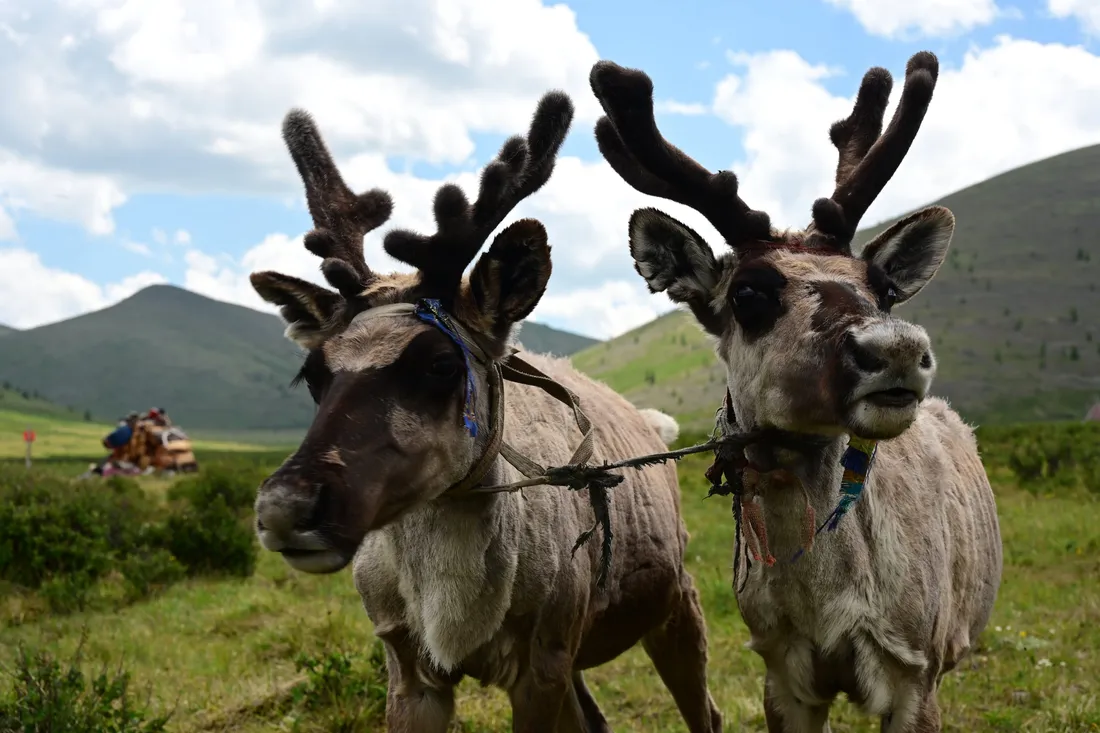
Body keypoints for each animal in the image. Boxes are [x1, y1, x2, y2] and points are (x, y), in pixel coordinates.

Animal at [248, 90, 724, 733]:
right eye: (314, 374)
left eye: (440, 364)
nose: (285, 508)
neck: (450, 610)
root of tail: (654, 423)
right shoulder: (408, 668)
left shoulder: (541, 664)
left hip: (674, 601)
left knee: (705, 710)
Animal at [589, 51, 1003, 732]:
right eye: (748, 293)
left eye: (882, 289)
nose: (897, 349)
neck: (828, 604)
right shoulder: (781, 670)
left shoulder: (915, 671)